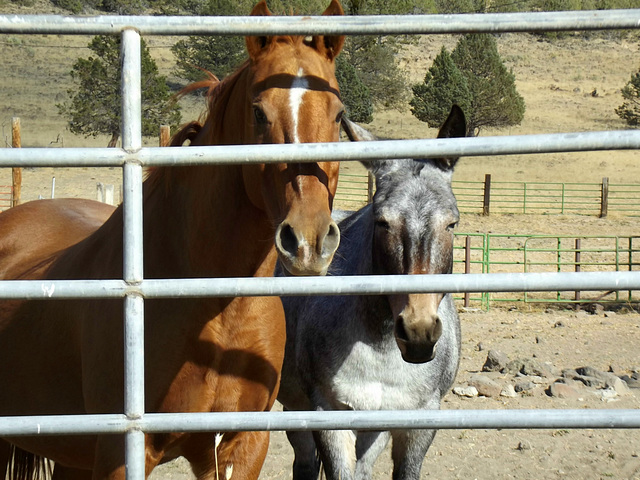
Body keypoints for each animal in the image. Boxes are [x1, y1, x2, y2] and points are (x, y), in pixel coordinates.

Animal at [0, 0, 344, 480]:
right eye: (259, 112)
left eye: (338, 113)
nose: (309, 240)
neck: (217, 313)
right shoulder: (124, 453)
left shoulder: (241, 446)